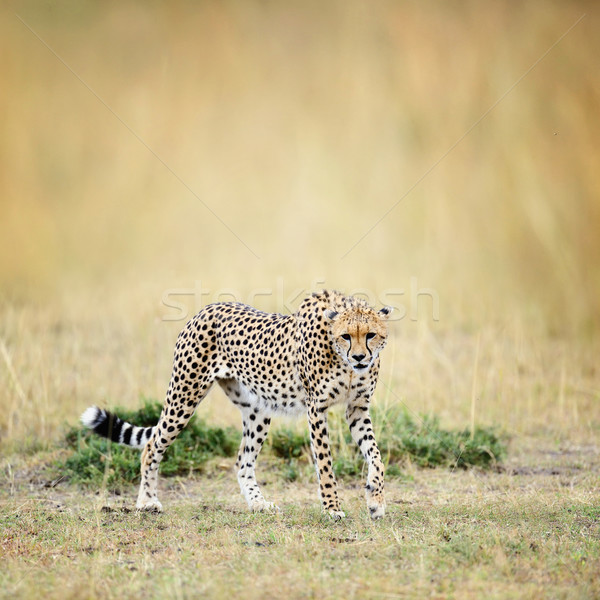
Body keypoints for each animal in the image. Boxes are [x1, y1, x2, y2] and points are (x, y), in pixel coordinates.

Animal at [82, 288, 394, 516]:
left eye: (370, 335)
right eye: (346, 336)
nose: (359, 357)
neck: (345, 364)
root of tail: (207, 308)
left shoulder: (357, 408)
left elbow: (376, 455)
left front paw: (375, 499)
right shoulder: (316, 410)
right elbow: (326, 463)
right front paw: (332, 508)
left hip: (257, 409)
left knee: (242, 461)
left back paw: (258, 503)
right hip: (184, 395)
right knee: (151, 446)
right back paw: (147, 502)